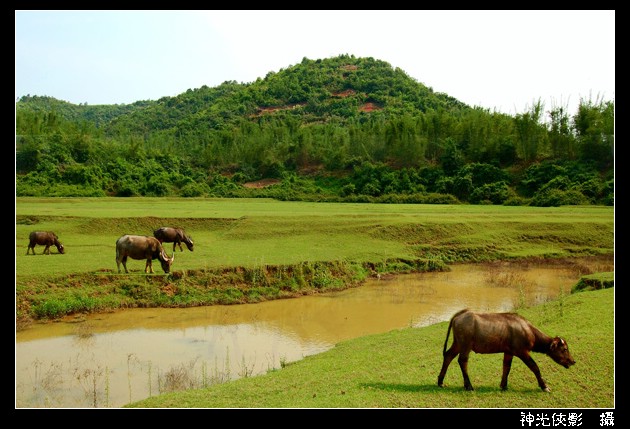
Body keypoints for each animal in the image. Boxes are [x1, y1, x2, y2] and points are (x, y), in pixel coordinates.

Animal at [440, 308, 576, 392]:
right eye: (564, 349)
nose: (573, 361)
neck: (528, 331)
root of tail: (459, 315)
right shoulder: (522, 352)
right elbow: (534, 367)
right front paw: (544, 386)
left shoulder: (509, 352)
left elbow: (506, 367)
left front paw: (503, 385)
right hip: (465, 345)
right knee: (462, 361)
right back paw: (468, 386)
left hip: (458, 343)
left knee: (448, 356)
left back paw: (440, 381)